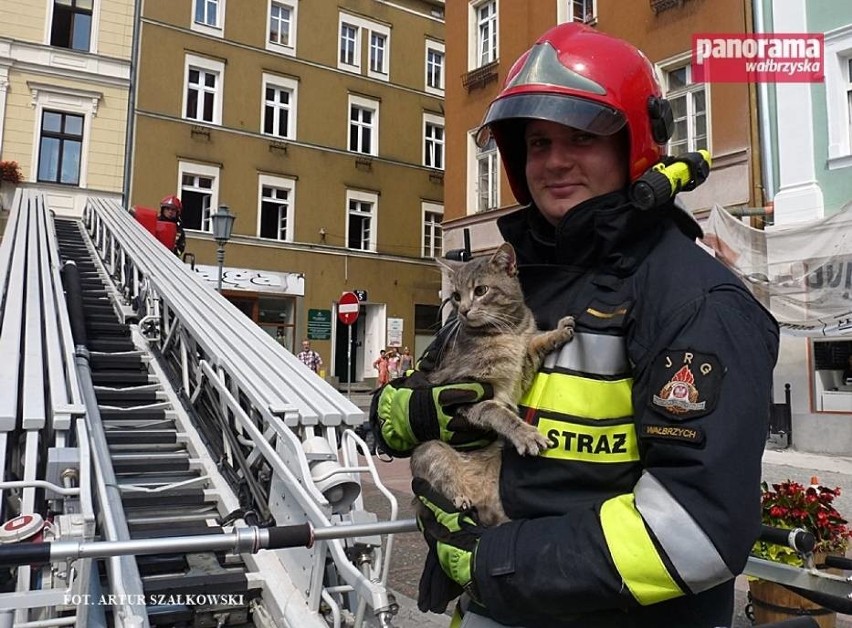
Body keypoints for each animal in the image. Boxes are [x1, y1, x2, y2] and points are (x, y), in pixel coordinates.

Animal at [412, 242, 576, 524]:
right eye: (456, 296)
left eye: (481, 290)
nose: (463, 310)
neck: (504, 333)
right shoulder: (466, 392)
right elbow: (498, 412)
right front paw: (525, 434)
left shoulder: (522, 368)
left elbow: (536, 342)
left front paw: (558, 331)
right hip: (431, 450)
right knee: (443, 481)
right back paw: (459, 498)